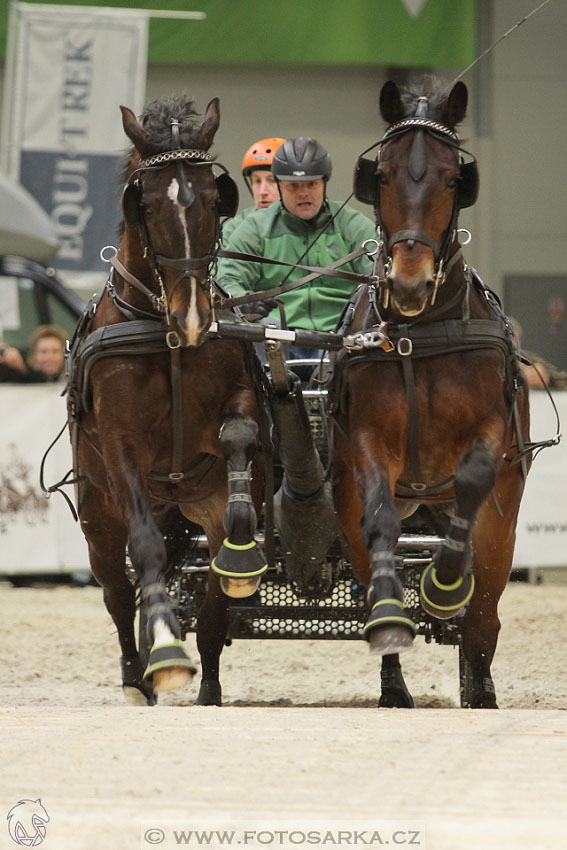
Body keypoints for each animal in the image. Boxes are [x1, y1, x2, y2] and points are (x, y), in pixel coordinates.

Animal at [67, 94, 268, 704]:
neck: (166, 334)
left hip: (197, 511)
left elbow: (239, 436)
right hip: (97, 517)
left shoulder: (239, 395)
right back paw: (140, 675)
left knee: (214, 606)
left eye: (215, 199)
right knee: (116, 588)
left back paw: (210, 684)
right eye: (147, 204)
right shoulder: (120, 445)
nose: (195, 317)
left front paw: (245, 545)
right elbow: (148, 551)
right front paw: (163, 649)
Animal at [330, 79, 532, 704]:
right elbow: (380, 521)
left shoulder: (489, 433)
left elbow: (472, 481)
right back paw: (394, 678)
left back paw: (480, 684)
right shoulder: (369, 442)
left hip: (502, 520)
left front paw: (443, 585)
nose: (410, 283)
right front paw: (393, 622)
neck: (421, 333)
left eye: (450, 178)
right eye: (383, 175)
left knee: (485, 603)